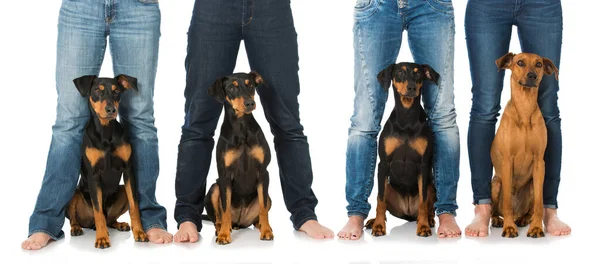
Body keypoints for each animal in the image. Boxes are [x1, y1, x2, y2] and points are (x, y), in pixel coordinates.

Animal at [66, 74, 148, 248]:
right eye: (97, 91)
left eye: (117, 91)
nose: (111, 110)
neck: (106, 132)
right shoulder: (93, 175)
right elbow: (98, 211)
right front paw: (102, 238)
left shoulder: (128, 170)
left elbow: (134, 206)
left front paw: (139, 232)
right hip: (74, 193)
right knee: (76, 218)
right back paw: (76, 228)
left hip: (121, 190)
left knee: (110, 219)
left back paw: (119, 224)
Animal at [204, 71, 274, 244]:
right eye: (231, 88)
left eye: (251, 85)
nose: (250, 103)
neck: (242, 127)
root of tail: (240, 223)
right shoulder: (224, 175)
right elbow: (225, 209)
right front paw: (224, 235)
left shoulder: (263, 172)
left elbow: (263, 207)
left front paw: (266, 231)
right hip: (214, 189)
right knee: (218, 218)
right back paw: (222, 229)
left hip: (268, 196)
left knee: (260, 211)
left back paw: (261, 226)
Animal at [364, 62, 438, 237]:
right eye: (399, 73)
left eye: (418, 74)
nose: (411, 87)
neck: (407, 119)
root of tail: (408, 212)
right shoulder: (383, 164)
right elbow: (380, 200)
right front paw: (378, 226)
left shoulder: (423, 165)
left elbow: (424, 201)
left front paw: (423, 227)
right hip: (389, 187)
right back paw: (373, 221)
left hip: (431, 186)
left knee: (429, 206)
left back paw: (429, 220)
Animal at [492, 52, 556, 238]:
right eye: (520, 62)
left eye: (539, 64)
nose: (532, 76)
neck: (525, 109)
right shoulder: (507, 161)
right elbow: (506, 202)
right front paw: (509, 228)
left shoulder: (539, 162)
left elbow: (540, 204)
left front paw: (536, 227)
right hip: (496, 183)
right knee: (495, 209)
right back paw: (499, 220)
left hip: (533, 184)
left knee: (531, 207)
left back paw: (524, 219)